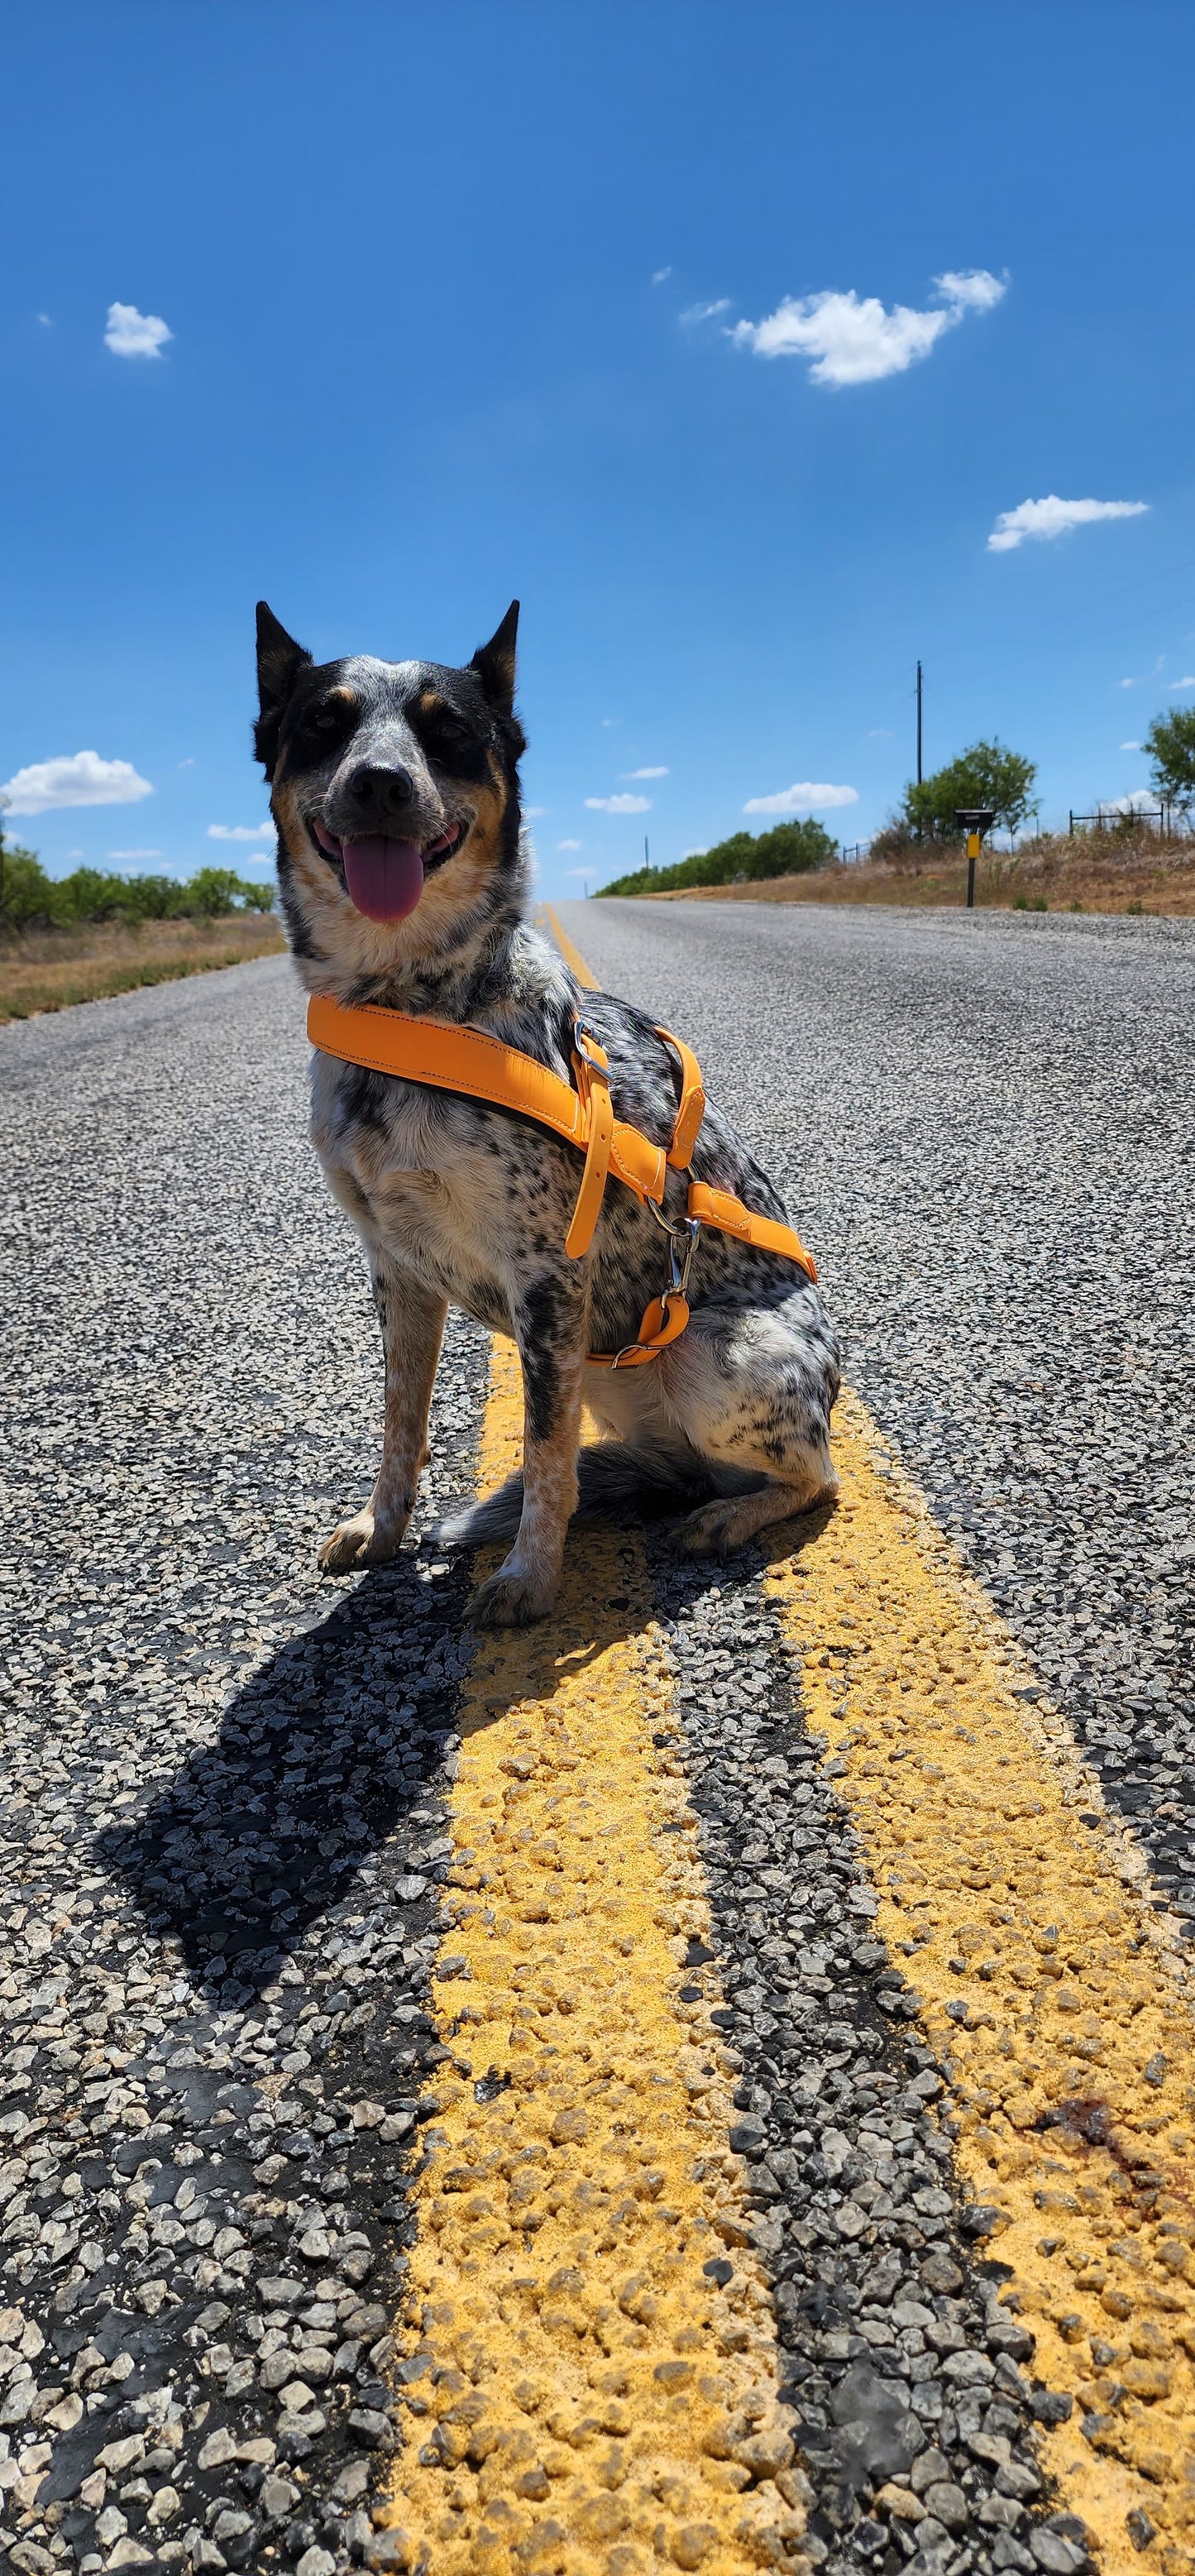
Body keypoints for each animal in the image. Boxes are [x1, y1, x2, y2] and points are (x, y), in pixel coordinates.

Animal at [255, 592, 839, 1617]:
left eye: (446, 732)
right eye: (323, 723)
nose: (378, 784)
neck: (407, 1007)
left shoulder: (547, 1276)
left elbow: (544, 1450)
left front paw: (529, 1576)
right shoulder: (397, 1271)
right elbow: (402, 1425)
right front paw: (381, 1528)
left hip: (710, 1355)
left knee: (814, 1479)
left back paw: (726, 1516)